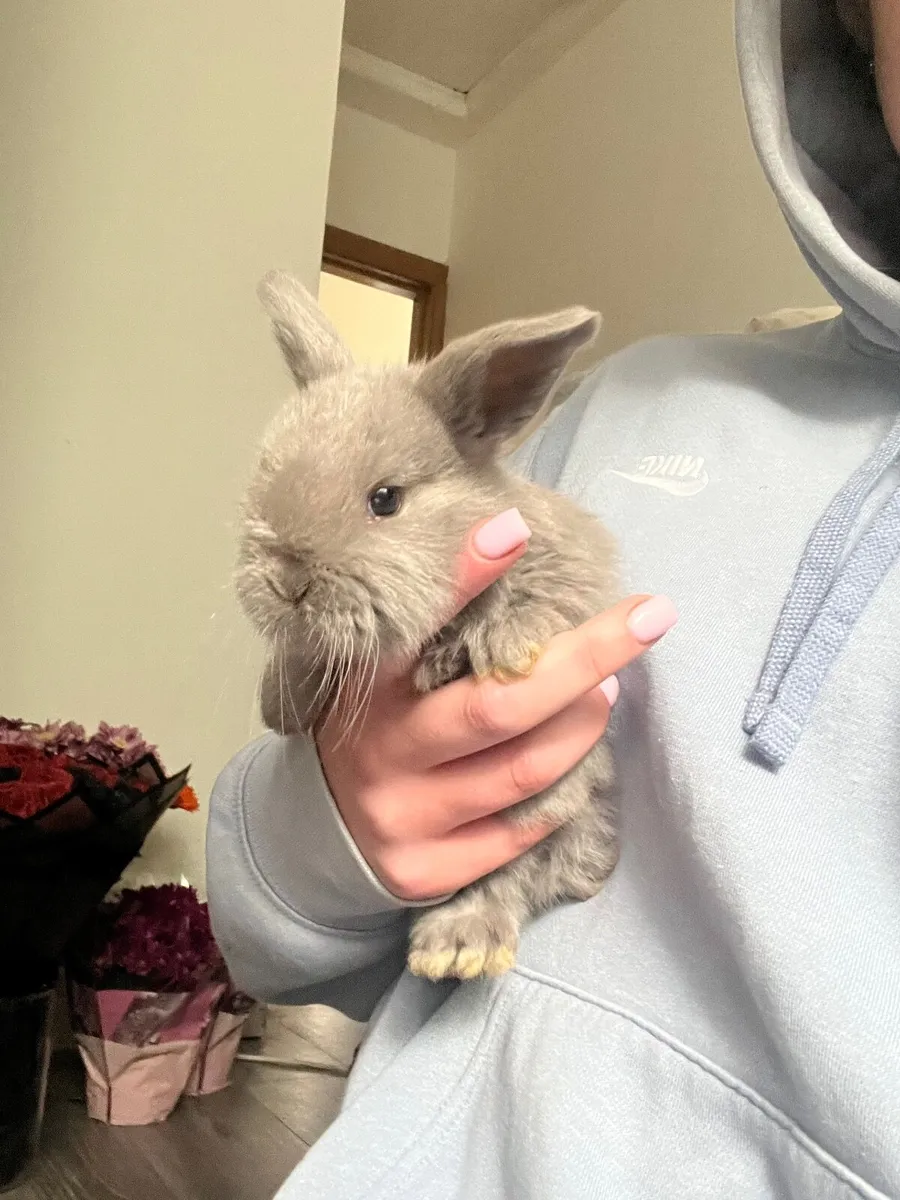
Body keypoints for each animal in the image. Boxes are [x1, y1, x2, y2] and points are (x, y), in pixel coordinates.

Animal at [235, 270, 620, 983]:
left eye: (385, 500)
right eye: (264, 480)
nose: (287, 580)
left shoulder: (565, 574)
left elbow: (537, 603)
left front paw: (508, 645)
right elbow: (308, 655)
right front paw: (281, 706)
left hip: (544, 806)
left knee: (507, 875)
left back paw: (462, 944)